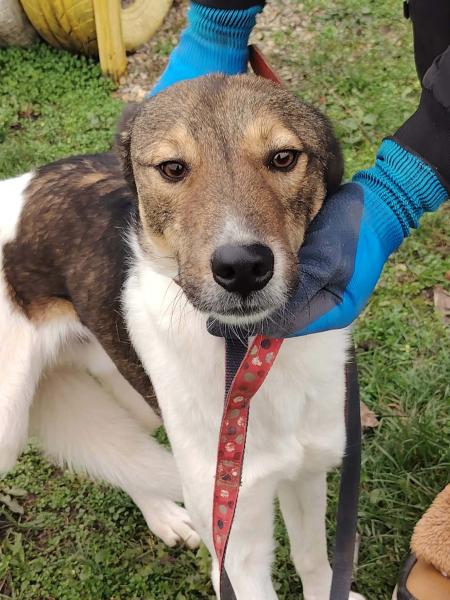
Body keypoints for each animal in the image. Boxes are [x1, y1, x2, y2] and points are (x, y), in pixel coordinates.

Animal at [0, 74, 365, 600]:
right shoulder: (239, 547)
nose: (242, 267)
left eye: (282, 158)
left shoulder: (306, 473)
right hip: (10, 426)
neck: (249, 354)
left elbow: (314, 560)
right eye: (172, 168)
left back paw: (164, 516)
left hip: (130, 381)